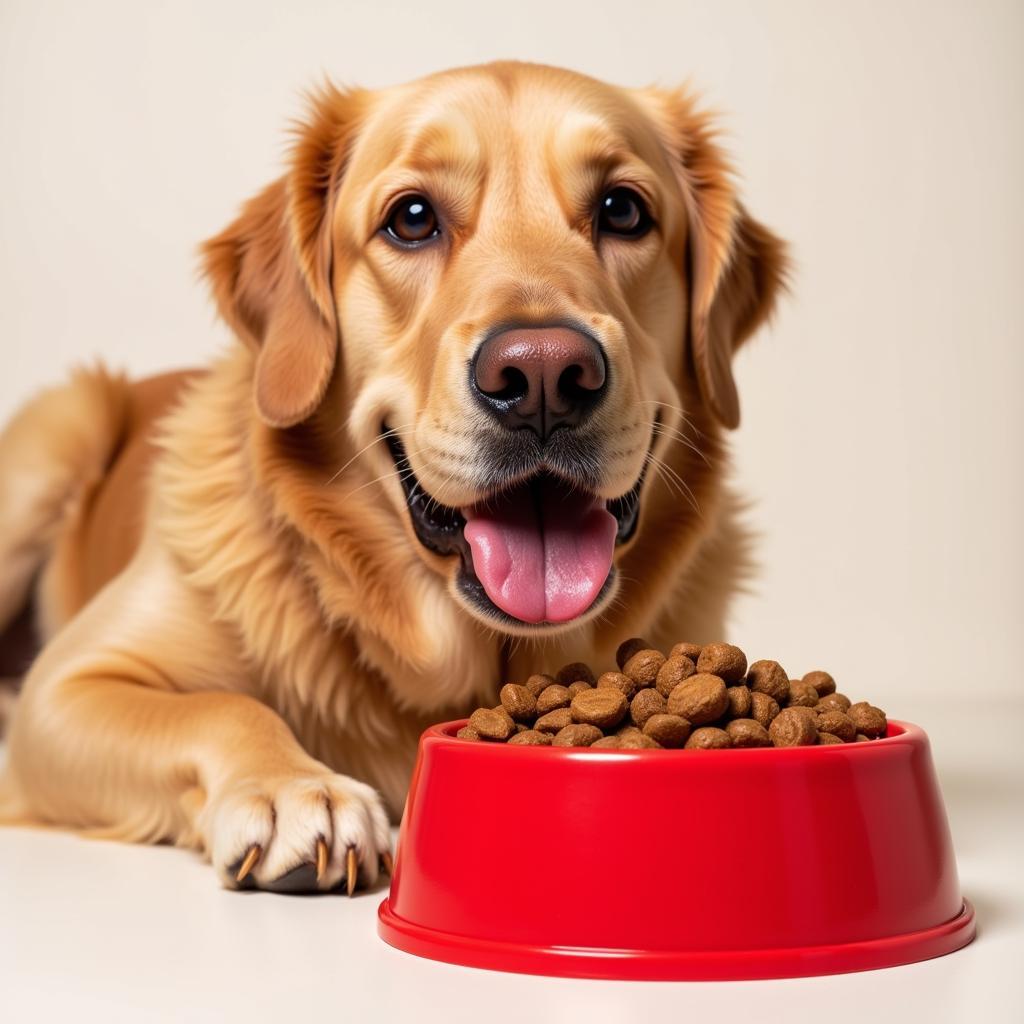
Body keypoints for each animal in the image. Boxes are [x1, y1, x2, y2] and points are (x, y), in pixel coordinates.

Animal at [0, 61, 786, 888]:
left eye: (623, 210)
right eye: (411, 218)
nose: (544, 376)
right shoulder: (65, 688)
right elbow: (220, 706)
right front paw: (297, 790)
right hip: (54, 439)